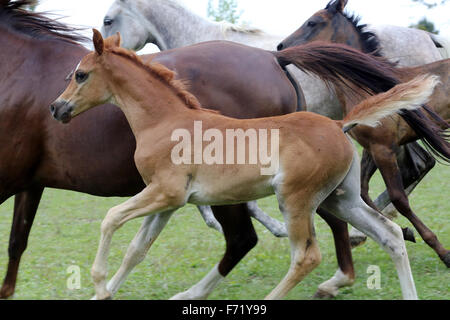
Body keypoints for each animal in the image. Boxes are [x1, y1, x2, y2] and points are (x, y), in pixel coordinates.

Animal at [278, 0, 450, 270]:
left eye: (313, 22)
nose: (281, 46)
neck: (365, 85)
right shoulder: (372, 148)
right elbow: (364, 192)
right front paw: (404, 232)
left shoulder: (384, 149)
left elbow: (399, 198)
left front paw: (442, 251)